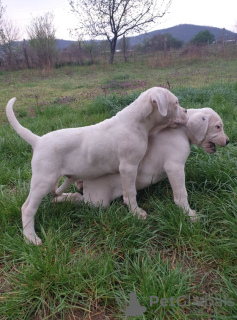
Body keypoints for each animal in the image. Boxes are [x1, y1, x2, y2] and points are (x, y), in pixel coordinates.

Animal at [5, 86, 187, 244]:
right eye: (176, 103)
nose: (186, 112)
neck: (136, 123)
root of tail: (38, 141)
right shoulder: (128, 167)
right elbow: (130, 192)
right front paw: (136, 212)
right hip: (43, 179)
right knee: (27, 208)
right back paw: (30, 237)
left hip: (53, 178)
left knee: (56, 193)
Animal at [54, 108, 229, 220]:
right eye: (218, 127)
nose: (228, 141)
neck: (181, 130)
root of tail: (87, 179)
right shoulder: (175, 167)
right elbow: (181, 194)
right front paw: (189, 214)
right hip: (98, 200)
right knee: (82, 200)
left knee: (76, 195)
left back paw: (59, 199)